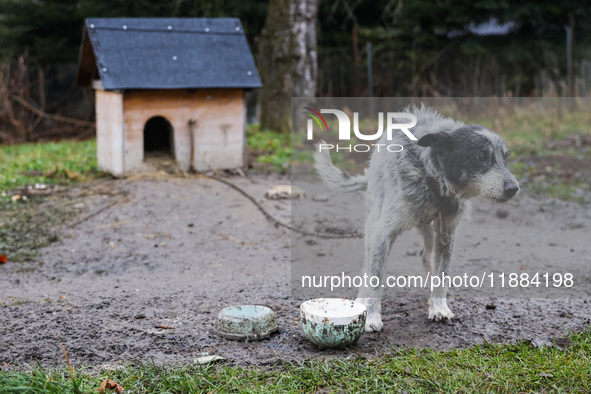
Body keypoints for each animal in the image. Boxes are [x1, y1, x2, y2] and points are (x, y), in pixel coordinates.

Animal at [314, 104, 520, 332]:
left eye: (505, 157)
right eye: (481, 156)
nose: (514, 188)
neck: (432, 181)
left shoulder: (447, 232)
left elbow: (442, 273)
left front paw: (439, 306)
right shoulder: (382, 233)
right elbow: (375, 278)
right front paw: (371, 317)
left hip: (428, 229)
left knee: (425, 255)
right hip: (373, 221)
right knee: (367, 265)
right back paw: (360, 300)